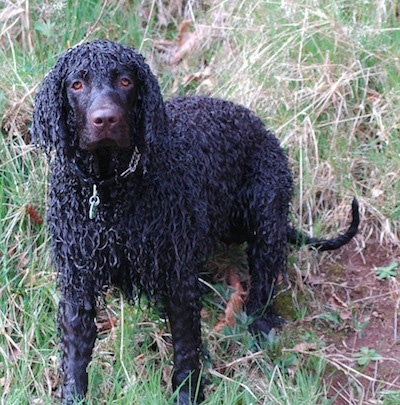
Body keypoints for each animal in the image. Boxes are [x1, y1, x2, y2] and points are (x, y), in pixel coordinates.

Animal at [32, 39, 360, 402]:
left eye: (125, 81)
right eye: (77, 84)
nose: (105, 119)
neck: (110, 192)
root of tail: (259, 126)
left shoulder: (177, 274)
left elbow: (186, 342)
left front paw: (188, 390)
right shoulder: (78, 277)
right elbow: (76, 351)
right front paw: (73, 395)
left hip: (266, 213)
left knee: (264, 281)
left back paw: (260, 328)